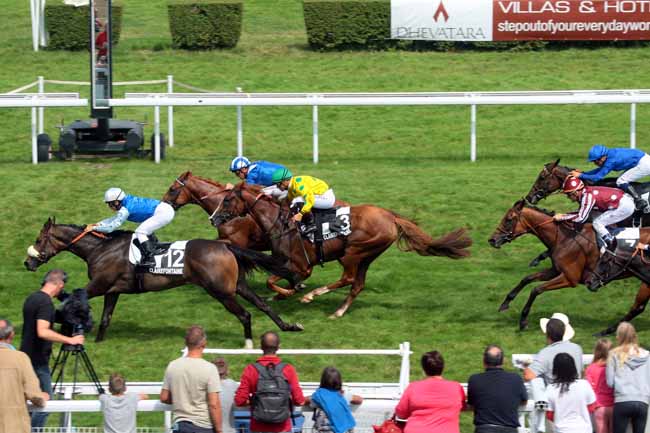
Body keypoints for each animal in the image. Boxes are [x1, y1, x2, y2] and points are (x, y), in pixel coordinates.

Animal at [23, 218, 304, 347]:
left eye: (38, 239)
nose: (28, 263)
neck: (99, 249)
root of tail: (225, 245)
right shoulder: (112, 290)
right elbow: (106, 318)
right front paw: (98, 341)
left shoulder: (99, 285)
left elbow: (73, 297)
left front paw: (59, 327)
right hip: (236, 286)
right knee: (263, 305)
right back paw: (289, 326)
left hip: (220, 291)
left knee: (245, 314)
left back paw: (248, 343)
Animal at [211, 183, 472, 318]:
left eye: (227, 200)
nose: (214, 219)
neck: (280, 223)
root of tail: (390, 216)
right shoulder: (282, 262)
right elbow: (272, 282)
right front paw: (283, 294)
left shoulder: (302, 266)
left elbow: (281, 281)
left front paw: (294, 292)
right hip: (368, 256)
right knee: (357, 284)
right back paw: (338, 311)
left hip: (353, 252)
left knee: (348, 278)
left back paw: (312, 296)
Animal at [488, 199, 649, 335]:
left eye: (509, 219)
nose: (492, 240)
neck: (564, 238)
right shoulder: (556, 270)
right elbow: (527, 278)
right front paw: (505, 303)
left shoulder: (570, 278)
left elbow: (536, 289)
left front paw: (523, 321)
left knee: (637, 307)